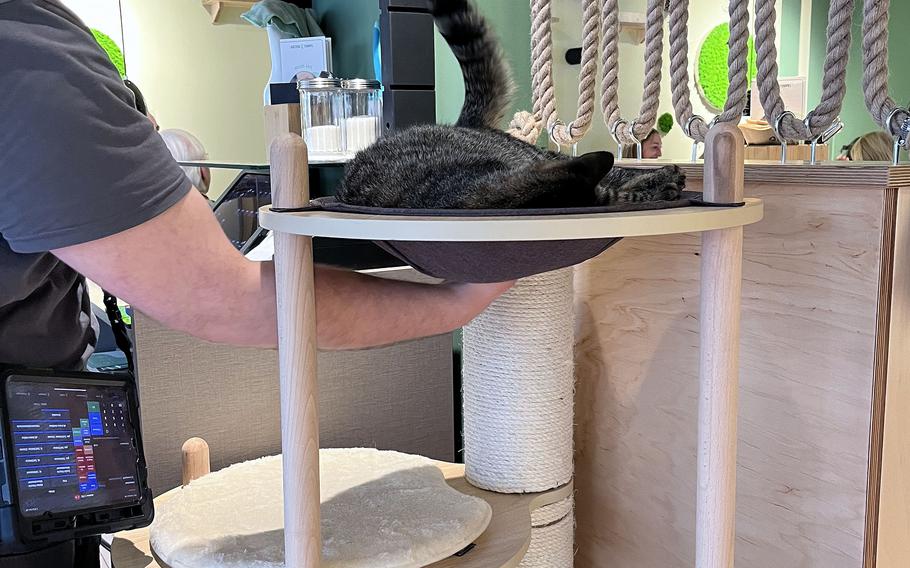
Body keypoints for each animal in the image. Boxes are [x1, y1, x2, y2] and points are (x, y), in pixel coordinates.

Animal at [334, 0, 684, 209]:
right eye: (614, 201)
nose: (616, 197)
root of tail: (463, 124)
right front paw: (646, 190)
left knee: (620, 169)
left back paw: (667, 174)